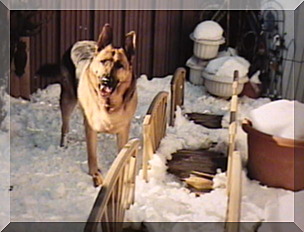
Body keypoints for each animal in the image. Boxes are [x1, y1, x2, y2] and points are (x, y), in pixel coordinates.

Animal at [37, 24, 137, 187]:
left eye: (120, 66)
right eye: (103, 61)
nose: (105, 80)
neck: (109, 103)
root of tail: (79, 41)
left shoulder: (123, 130)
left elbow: (122, 154)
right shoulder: (90, 128)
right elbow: (92, 155)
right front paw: (95, 175)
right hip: (68, 100)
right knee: (65, 127)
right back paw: (63, 145)